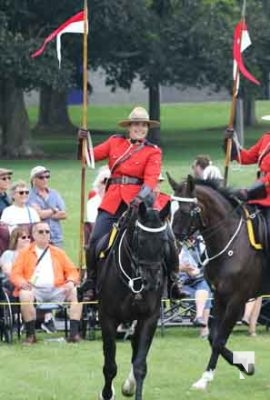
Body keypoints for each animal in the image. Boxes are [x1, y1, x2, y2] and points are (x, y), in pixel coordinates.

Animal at [93, 205, 169, 398]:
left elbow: (140, 366)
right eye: (140, 240)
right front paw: (106, 394)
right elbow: (110, 366)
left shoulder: (149, 319)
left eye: (164, 240)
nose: (152, 282)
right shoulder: (107, 318)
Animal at [169, 173, 268, 390]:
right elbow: (214, 337)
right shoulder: (220, 297)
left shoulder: (236, 301)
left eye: (185, 210)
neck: (231, 243)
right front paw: (245, 365)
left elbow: (219, 340)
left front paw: (206, 378)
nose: (172, 242)